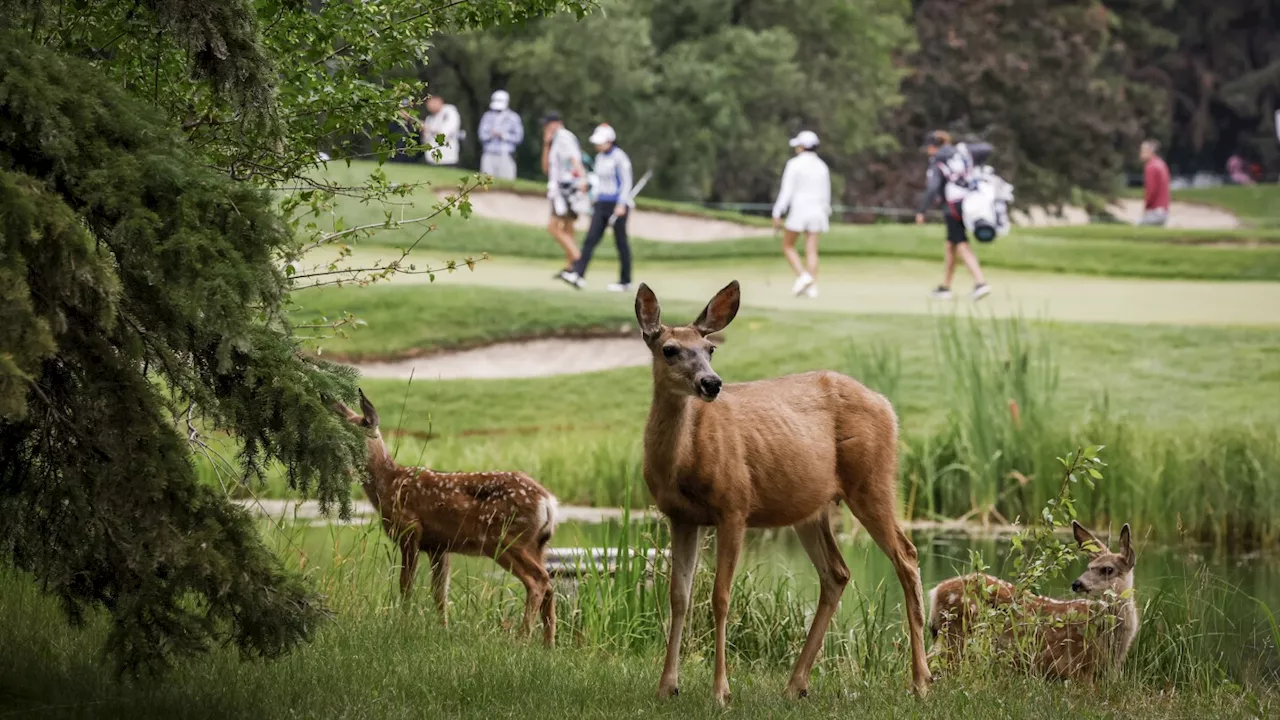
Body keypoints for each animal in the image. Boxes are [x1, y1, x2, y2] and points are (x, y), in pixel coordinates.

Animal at [335, 389, 555, 640]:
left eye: (352, 435)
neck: (388, 484)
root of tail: (547, 502)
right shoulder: (439, 546)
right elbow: (440, 592)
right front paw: (444, 629)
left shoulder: (411, 529)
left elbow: (406, 584)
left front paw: (403, 624)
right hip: (536, 545)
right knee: (549, 584)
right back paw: (548, 644)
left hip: (505, 539)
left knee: (538, 581)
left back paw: (522, 639)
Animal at [637, 280, 931, 702]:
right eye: (669, 349)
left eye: (710, 349)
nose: (711, 383)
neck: (683, 460)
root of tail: (889, 406)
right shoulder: (680, 517)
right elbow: (679, 596)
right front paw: (667, 686)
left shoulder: (734, 505)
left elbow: (720, 597)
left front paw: (721, 692)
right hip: (811, 508)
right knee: (837, 573)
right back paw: (796, 684)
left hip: (872, 480)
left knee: (906, 555)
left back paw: (921, 680)